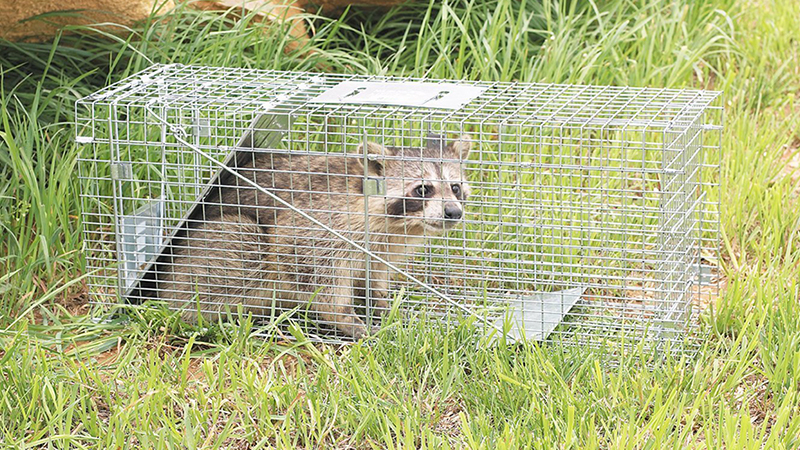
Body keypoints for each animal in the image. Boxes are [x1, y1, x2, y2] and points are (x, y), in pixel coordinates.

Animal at [156, 134, 472, 338]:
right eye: (423, 189)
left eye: (455, 187)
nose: (453, 212)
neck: (400, 225)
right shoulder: (322, 225)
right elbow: (315, 272)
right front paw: (345, 316)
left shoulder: (385, 244)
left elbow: (375, 272)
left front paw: (381, 301)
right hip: (222, 245)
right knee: (239, 246)